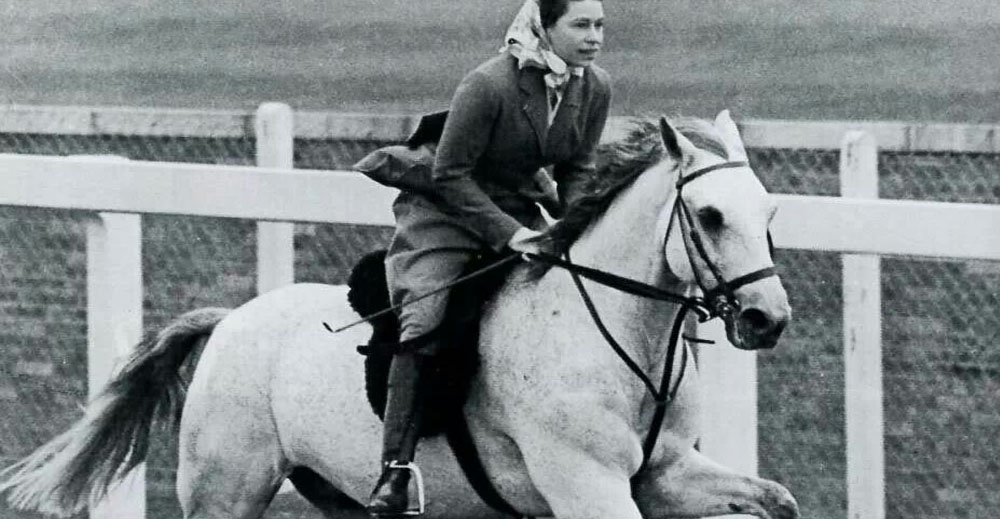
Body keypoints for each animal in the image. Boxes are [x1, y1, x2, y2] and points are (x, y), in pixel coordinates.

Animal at [0, 112, 796, 519]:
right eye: (710, 214)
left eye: (769, 213)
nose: (768, 318)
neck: (612, 334)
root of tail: (231, 321)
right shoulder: (587, 485)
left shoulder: (664, 474)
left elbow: (777, 500)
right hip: (227, 487)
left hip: (336, 494)